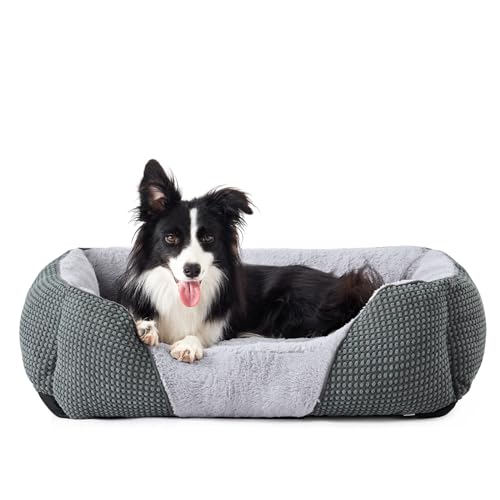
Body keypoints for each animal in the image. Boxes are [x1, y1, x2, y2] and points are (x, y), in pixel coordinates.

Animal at [118, 159, 382, 362]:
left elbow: (197, 336)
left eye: (208, 238)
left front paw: (188, 345)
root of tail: (349, 286)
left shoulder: (215, 331)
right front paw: (144, 328)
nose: (192, 270)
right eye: (171, 238)